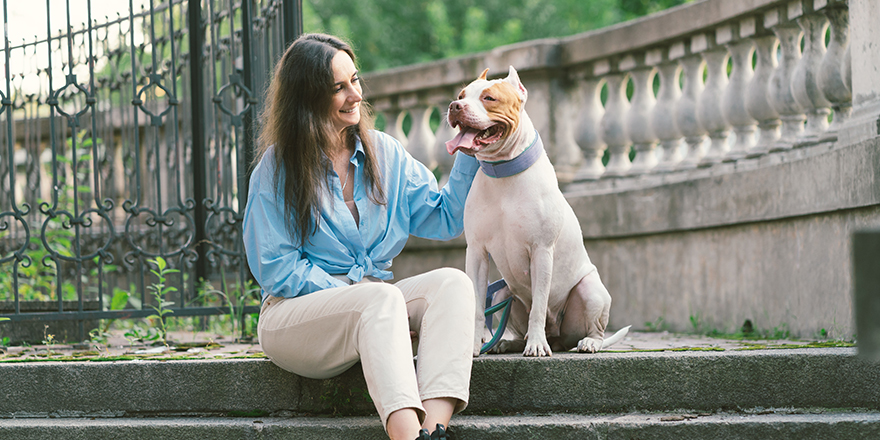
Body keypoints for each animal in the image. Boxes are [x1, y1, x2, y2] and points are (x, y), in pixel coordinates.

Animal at [446, 69, 624, 358]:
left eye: (489, 98)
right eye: (461, 96)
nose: (454, 106)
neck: (502, 172)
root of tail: (558, 338)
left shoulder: (541, 251)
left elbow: (539, 305)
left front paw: (537, 345)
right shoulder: (477, 252)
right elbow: (476, 306)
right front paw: (472, 346)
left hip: (591, 291)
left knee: (592, 329)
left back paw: (586, 343)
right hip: (503, 293)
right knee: (516, 324)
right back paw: (505, 343)